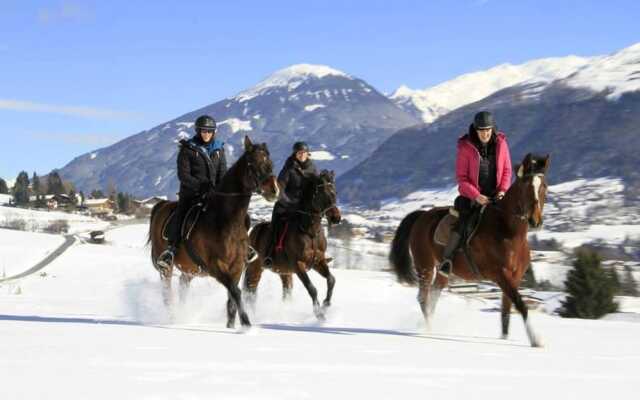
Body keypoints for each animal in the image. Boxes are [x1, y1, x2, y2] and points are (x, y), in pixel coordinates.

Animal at [151, 137, 282, 328]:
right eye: (252, 164)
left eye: (270, 163)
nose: (274, 190)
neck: (226, 220)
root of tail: (161, 206)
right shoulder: (215, 266)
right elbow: (235, 292)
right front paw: (246, 325)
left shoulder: (237, 266)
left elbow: (232, 299)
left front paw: (231, 326)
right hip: (166, 267)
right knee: (167, 291)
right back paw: (173, 318)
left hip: (189, 269)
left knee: (183, 285)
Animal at [244, 170, 342, 320]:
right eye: (323, 193)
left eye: (334, 192)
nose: (336, 218)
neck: (310, 232)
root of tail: (253, 231)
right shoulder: (298, 265)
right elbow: (312, 288)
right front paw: (319, 314)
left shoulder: (318, 262)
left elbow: (331, 280)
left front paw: (326, 304)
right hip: (255, 267)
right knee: (251, 288)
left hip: (284, 272)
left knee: (281, 291)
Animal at [390, 153, 552, 346]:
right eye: (525, 186)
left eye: (544, 186)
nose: (536, 221)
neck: (509, 232)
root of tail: (422, 215)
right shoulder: (501, 275)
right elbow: (521, 304)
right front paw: (536, 340)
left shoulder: (515, 277)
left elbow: (506, 311)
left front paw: (504, 339)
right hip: (425, 266)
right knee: (423, 297)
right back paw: (429, 330)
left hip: (443, 272)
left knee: (434, 295)